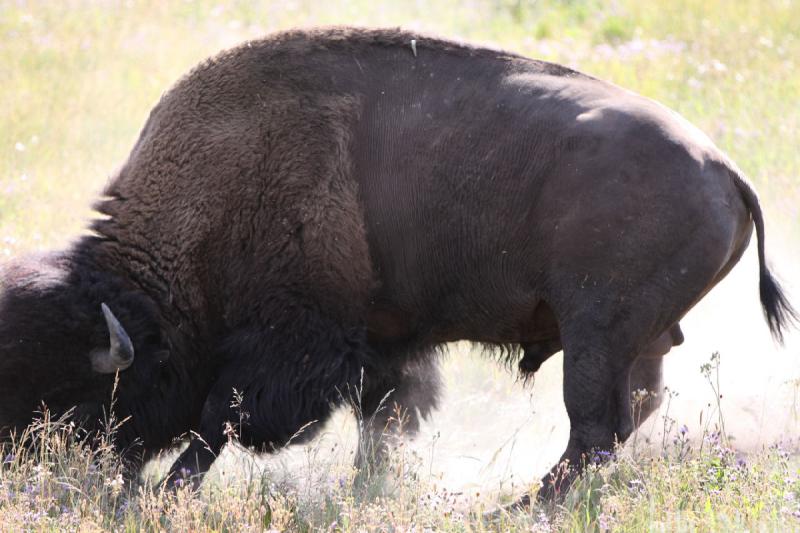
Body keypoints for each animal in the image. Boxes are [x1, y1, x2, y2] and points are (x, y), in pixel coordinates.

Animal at [3, 28, 796, 502]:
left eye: (76, 398)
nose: (28, 474)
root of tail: (727, 170)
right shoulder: (385, 343)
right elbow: (381, 423)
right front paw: (367, 491)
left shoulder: (293, 347)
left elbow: (219, 422)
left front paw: (164, 494)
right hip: (641, 336)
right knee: (624, 418)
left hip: (597, 328)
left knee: (594, 427)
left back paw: (515, 508)